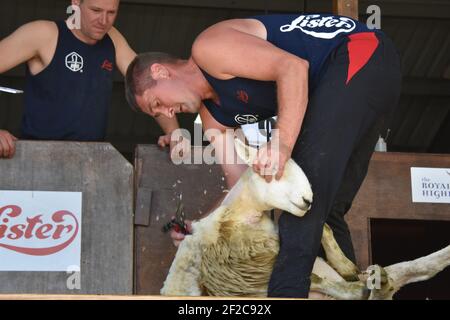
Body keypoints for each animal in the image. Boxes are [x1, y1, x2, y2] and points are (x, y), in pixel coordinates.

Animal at [162, 139, 450, 298]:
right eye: (271, 170)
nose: (307, 200)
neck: (240, 218)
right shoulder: (253, 272)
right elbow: (320, 280)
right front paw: (357, 284)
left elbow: (324, 229)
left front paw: (347, 267)